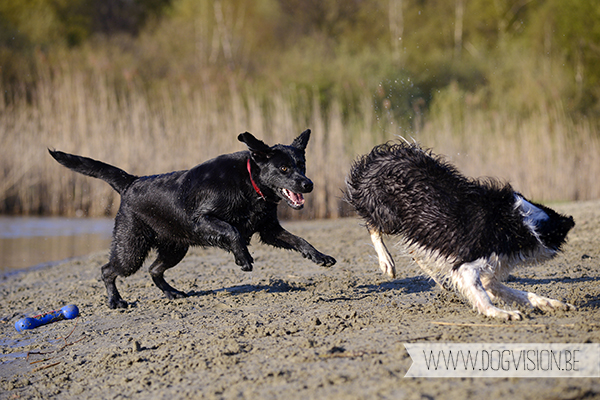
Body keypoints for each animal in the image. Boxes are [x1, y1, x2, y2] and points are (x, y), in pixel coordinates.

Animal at [49, 129, 336, 309]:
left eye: (302, 165)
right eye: (284, 168)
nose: (308, 184)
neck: (249, 183)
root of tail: (131, 183)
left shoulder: (269, 229)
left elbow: (299, 240)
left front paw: (319, 256)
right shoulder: (202, 219)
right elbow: (232, 230)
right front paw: (243, 258)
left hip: (175, 248)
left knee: (154, 270)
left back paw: (172, 293)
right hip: (131, 250)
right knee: (107, 270)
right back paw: (115, 301)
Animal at [344, 141, 575, 320]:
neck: (521, 224)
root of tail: (377, 158)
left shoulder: (490, 272)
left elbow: (518, 293)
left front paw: (551, 303)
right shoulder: (467, 264)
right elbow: (482, 295)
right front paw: (501, 313)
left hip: (417, 228)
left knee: (415, 252)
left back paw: (437, 279)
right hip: (389, 215)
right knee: (373, 227)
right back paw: (387, 262)